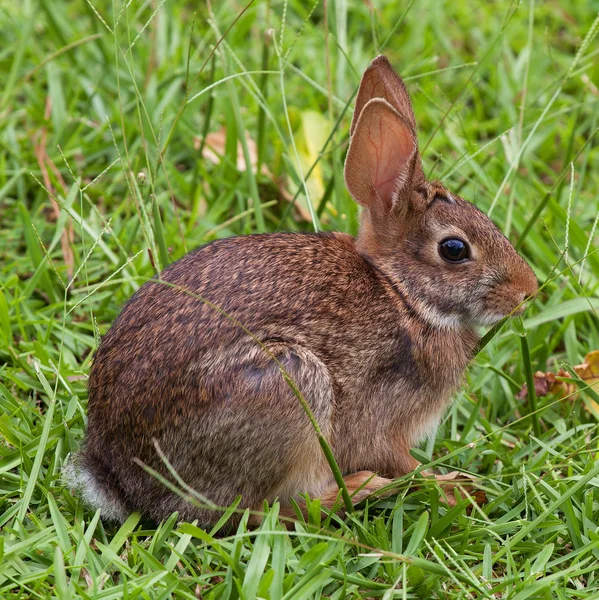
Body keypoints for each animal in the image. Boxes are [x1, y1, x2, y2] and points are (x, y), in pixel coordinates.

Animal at [67, 55, 540, 524]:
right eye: (454, 249)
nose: (527, 290)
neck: (403, 295)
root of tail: (119, 480)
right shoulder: (384, 424)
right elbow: (401, 462)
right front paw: (452, 487)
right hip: (290, 384)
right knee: (262, 512)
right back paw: (361, 489)